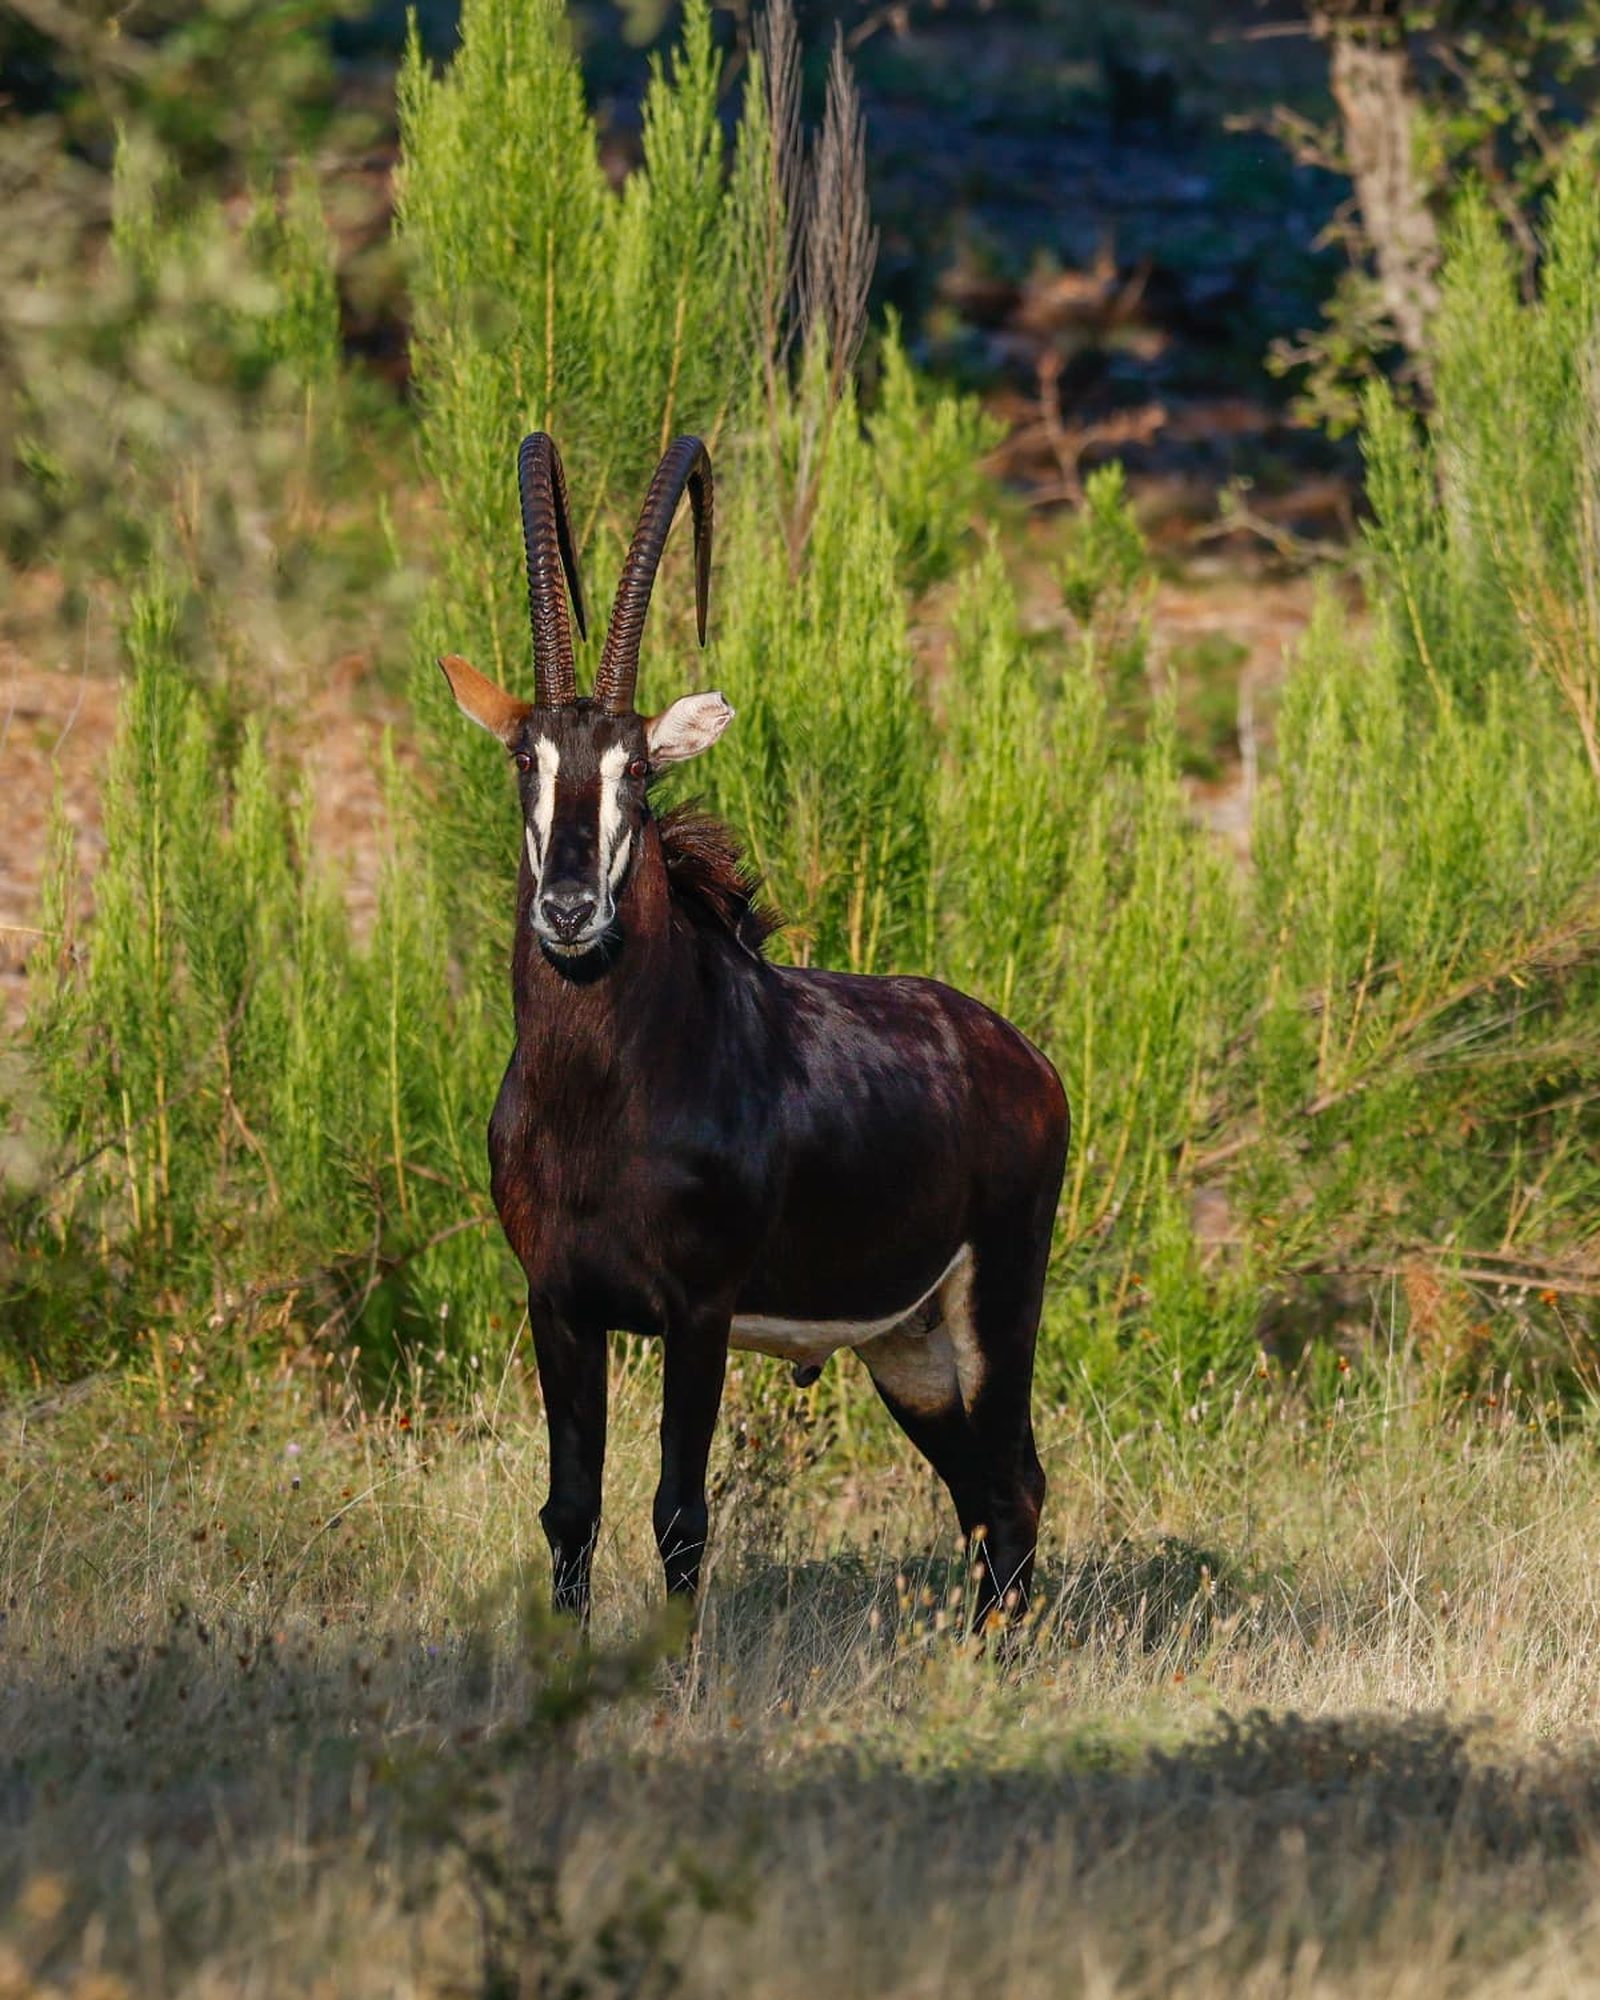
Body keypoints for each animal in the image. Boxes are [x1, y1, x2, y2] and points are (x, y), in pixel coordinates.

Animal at [438, 433, 1069, 1628]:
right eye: (525, 762)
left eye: (637, 769)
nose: (569, 910)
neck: (602, 1094)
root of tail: (1023, 1060)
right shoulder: (560, 1304)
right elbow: (569, 1510)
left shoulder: (699, 1310)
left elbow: (680, 1514)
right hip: (908, 1346)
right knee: (982, 1491)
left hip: (997, 1304)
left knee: (1014, 1486)